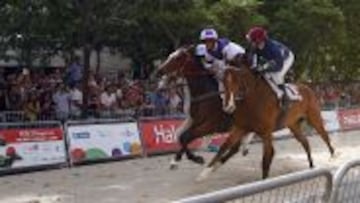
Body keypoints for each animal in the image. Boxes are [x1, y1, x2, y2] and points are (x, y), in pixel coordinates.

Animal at [197, 59, 334, 180]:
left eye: (237, 81)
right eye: (222, 81)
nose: (228, 106)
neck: (252, 100)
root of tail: (307, 88)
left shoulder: (266, 132)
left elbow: (266, 157)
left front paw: (264, 181)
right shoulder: (241, 128)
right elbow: (224, 147)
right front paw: (205, 173)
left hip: (314, 117)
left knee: (324, 135)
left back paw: (333, 156)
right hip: (293, 125)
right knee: (305, 142)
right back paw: (311, 165)